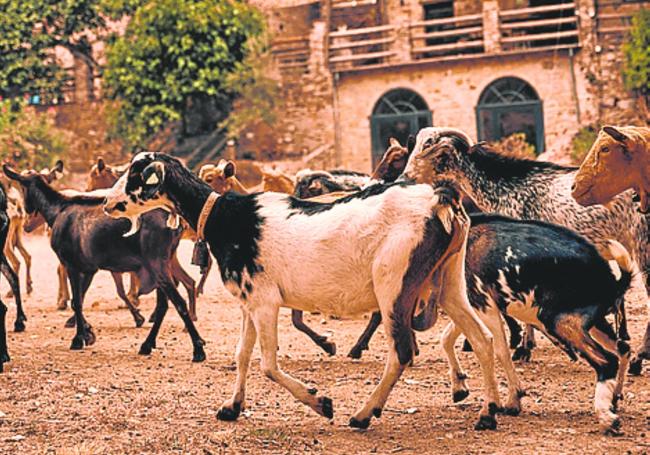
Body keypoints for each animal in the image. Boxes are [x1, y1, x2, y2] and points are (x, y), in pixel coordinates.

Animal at [3, 166, 205, 362]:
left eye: (22, 189)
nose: (25, 221)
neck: (58, 209)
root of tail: (174, 221)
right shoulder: (88, 269)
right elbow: (78, 301)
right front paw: (88, 333)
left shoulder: (71, 264)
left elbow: (77, 301)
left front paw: (79, 338)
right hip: (165, 263)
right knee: (164, 304)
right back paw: (147, 345)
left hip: (157, 264)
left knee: (178, 301)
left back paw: (198, 349)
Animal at [105, 152, 502, 432]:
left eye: (137, 175)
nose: (107, 203)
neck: (225, 217)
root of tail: (439, 198)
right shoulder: (249, 303)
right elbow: (241, 355)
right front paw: (232, 408)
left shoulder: (265, 301)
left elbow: (267, 364)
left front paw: (320, 402)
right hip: (449, 281)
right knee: (482, 339)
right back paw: (488, 413)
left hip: (394, 285)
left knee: (402, 352)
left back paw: (363, 414)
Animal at [402, 126, 644, 376]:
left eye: (433, 149)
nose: (406, 177)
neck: (508, 187)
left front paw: (523, 347)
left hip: (640, 242)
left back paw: (637, 358)